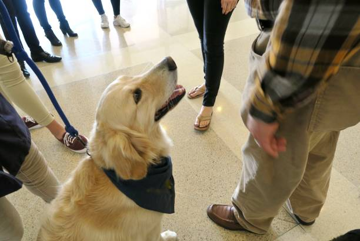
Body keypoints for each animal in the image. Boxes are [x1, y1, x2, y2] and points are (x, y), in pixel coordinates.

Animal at [38, 57, 186, 241]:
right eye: (137, 95)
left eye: (128, 77)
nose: (170, 60)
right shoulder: (150, 230)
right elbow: (159, 236)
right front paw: (168, 235)